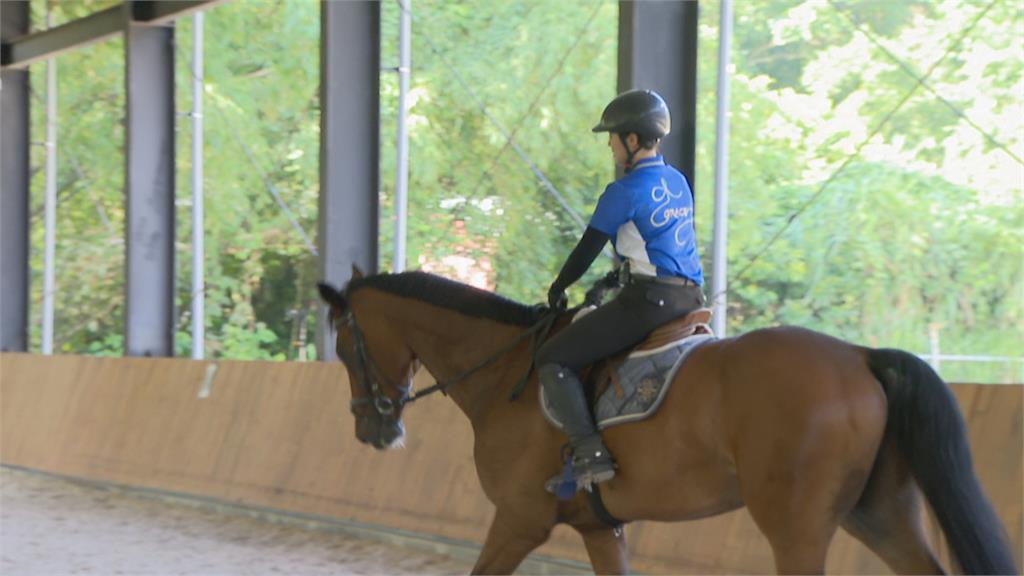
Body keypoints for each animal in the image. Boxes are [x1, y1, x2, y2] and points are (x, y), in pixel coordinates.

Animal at [317, 266, 1015, 569]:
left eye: (345, 346)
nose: (373, 429)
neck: (505, 371)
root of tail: (860, 356)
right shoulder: (599, 529)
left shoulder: (517, 522)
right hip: (879, 514)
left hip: (797, 529)